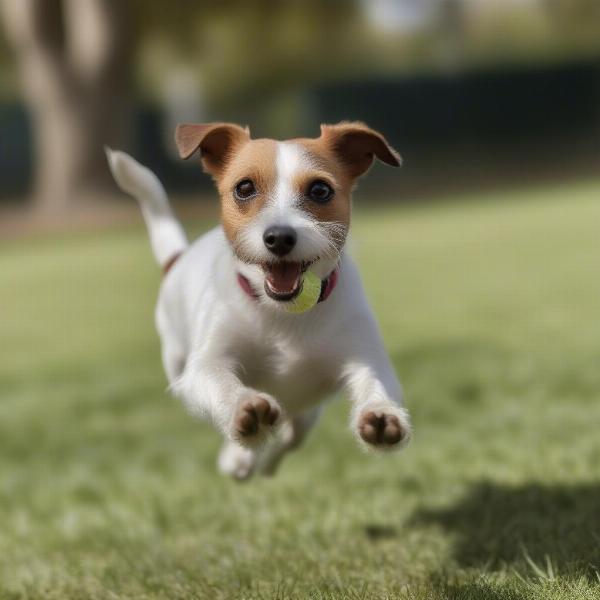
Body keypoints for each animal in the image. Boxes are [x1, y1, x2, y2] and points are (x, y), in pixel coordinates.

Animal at [105, 120, 410, 478]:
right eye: (245, 188)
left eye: (320, 190)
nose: (279, 237)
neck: (283, 313)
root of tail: (179, 258)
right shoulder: (203, 369)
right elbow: (221, 384)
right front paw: (245, 410)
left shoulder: (364, 358)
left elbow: (374, 384)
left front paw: (381, 414)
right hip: (177, 361)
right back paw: (241, 453)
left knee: (294, 431)